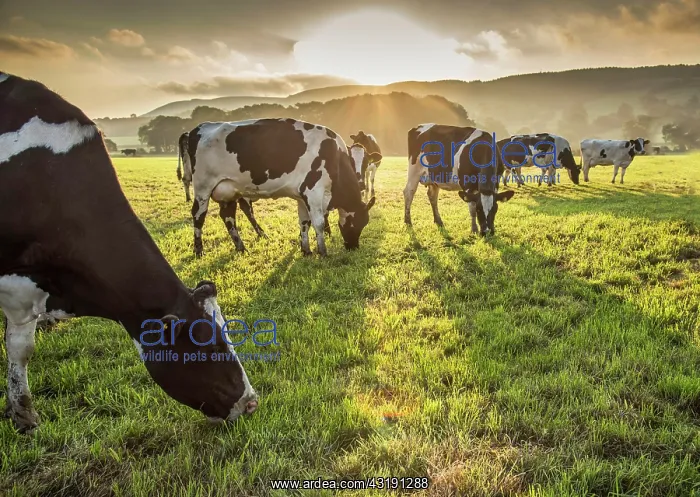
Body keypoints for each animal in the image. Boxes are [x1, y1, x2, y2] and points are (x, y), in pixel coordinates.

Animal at [185, 118, 375, 257]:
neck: (334, 157)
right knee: (198, 216)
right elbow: (319, 223)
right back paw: (199, 250)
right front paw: (323, 252)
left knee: (228, 217)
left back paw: (241, 247)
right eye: (357, 223)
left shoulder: (302, 196)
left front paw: (306, 250)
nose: (353, 246)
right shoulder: (313, 191)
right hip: (203, 187)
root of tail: (201, 127)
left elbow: (304, 222)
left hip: (228, 190)